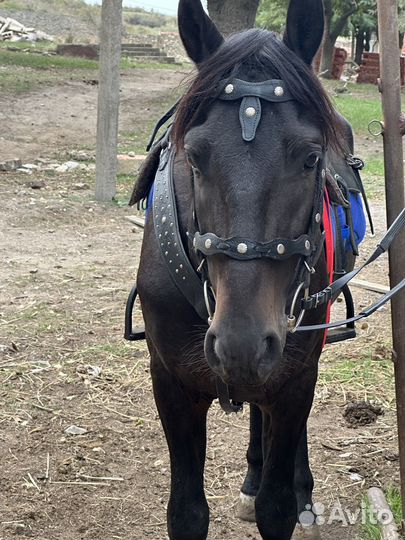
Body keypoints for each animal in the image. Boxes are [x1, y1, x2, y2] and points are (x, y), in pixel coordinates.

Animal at [131, 1, 362, 540]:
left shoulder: (295, 377)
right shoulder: (171, 385)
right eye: (194, 157)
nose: (242, 342)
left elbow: (276, 509)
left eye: (312, 157)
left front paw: (290, 494)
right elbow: (187, 514)